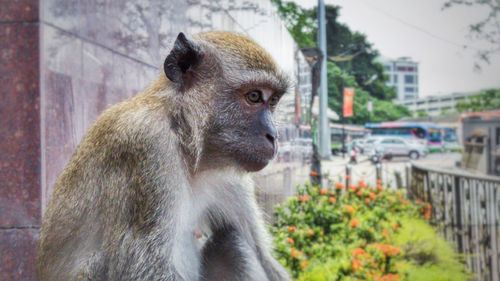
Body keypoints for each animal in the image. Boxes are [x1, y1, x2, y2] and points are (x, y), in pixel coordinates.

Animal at [39, 30, 292, 280]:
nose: (274, 136)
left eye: (273, 101)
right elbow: (142, 268)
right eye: (254, 96)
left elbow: (263, 257)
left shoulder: (228, 177)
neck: (185, 137)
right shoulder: (147, 146)